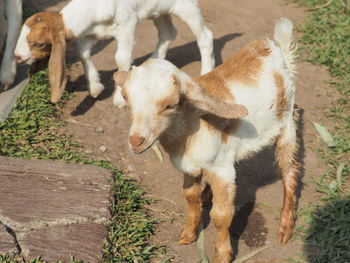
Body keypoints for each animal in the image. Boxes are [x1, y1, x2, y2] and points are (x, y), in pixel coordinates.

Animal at [14, 0, 213, 104]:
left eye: (39, 44)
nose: (17, 57)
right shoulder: (92, 33)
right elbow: (83, 53)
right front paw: (95, 87)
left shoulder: (127, 25)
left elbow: (121, 58)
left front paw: (119, 98)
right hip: (159, 11)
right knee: (168, 32)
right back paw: (153, 64)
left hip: (187, 6)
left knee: (205, 37)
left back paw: (206, 72)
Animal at [113, 19, 300, 263]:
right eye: (126, 98)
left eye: (170, 105)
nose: (136, 141)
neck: (191, 125)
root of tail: (271, 48)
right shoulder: (190, 166)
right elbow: (190, 197)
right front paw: (188, 234)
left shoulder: (222, 172)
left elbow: (221, 215)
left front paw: (222, 254)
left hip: (287, 126)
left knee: (290, 172)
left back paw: (285, 228)